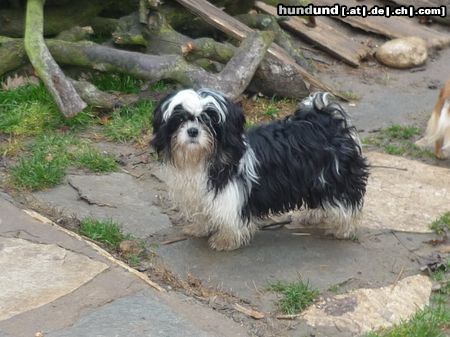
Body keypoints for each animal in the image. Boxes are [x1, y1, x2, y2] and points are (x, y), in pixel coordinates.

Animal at [151, 89, 370, 249]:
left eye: (209, 120)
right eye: (180, 120)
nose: (192, 131)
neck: (201, 159)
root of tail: (326, 122)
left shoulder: (232, 195)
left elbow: (231, 219)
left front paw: (225, 240)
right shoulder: (200, 195)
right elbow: (204, 213)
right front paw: (200, 228)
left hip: (336, 177)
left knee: (347, 201)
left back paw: (344, 228)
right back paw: (314, 215)